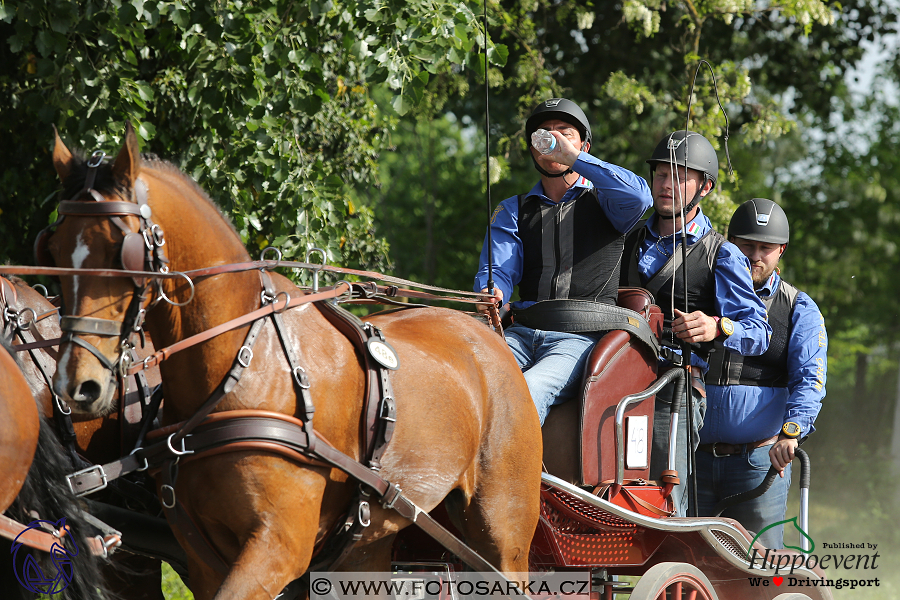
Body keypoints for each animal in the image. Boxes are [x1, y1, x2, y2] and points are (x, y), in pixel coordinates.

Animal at [44, 124, 540, 596]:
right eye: (52, 249)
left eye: (123, 252)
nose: (78, 385)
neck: (240, 367)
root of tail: (487, 332)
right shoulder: (205, 560)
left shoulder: (279, 546)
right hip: (368, 543)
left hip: (503, 535)